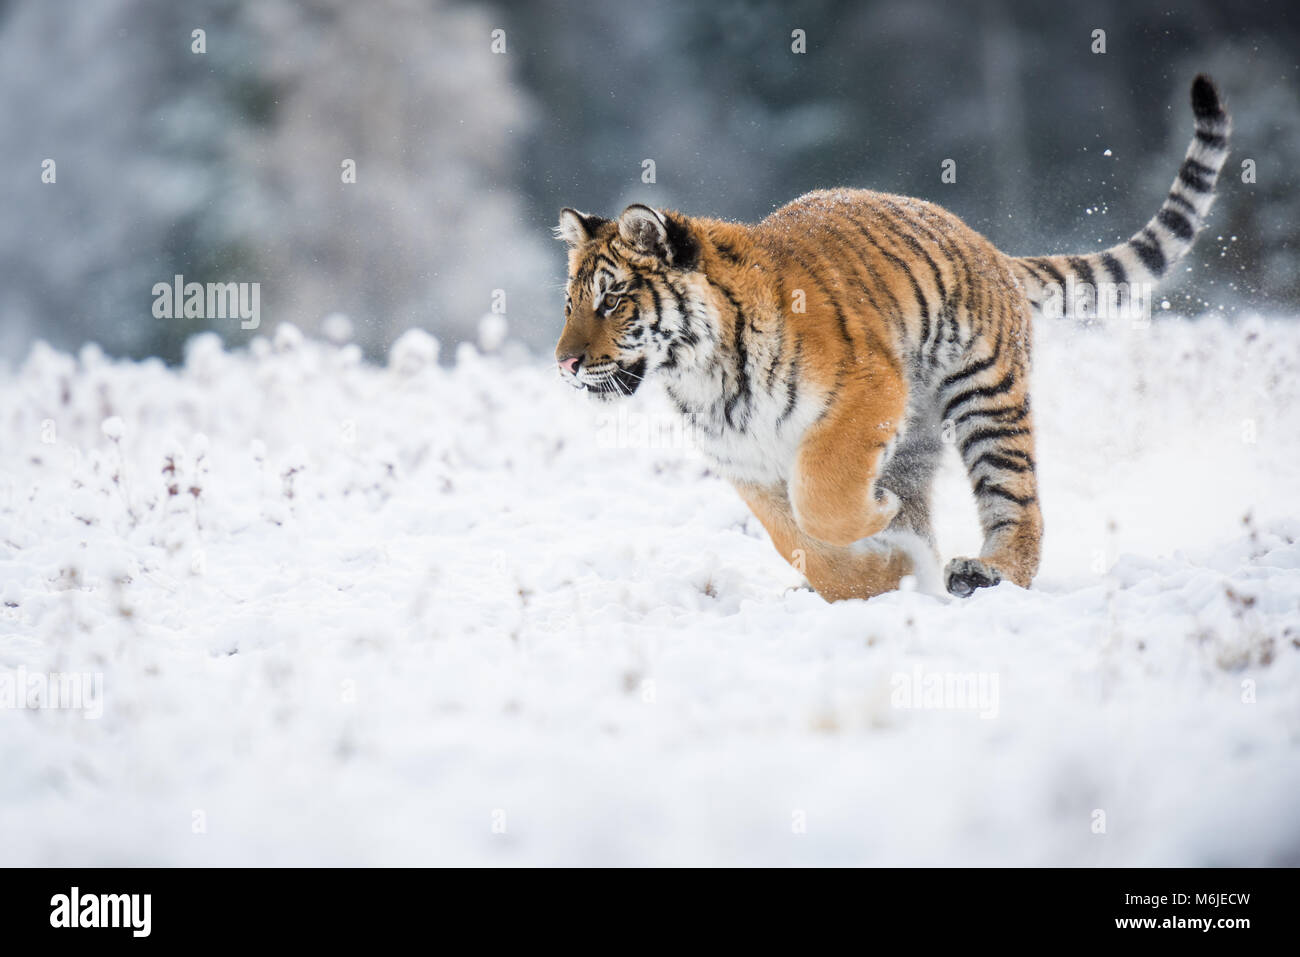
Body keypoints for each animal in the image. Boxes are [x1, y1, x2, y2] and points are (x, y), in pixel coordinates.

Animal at [553, 75, 1230, 602]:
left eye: (611, 300)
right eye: (570, 303)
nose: (564, 365)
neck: (702, 374)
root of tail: (989, 247)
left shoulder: (863, 392)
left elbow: (822, 497)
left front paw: (878, 523)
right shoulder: (746, 463)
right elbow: (799, 542)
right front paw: (888, 574)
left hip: (986, 397)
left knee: (1019, 503)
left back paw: (988, 573)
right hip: (918, 436)